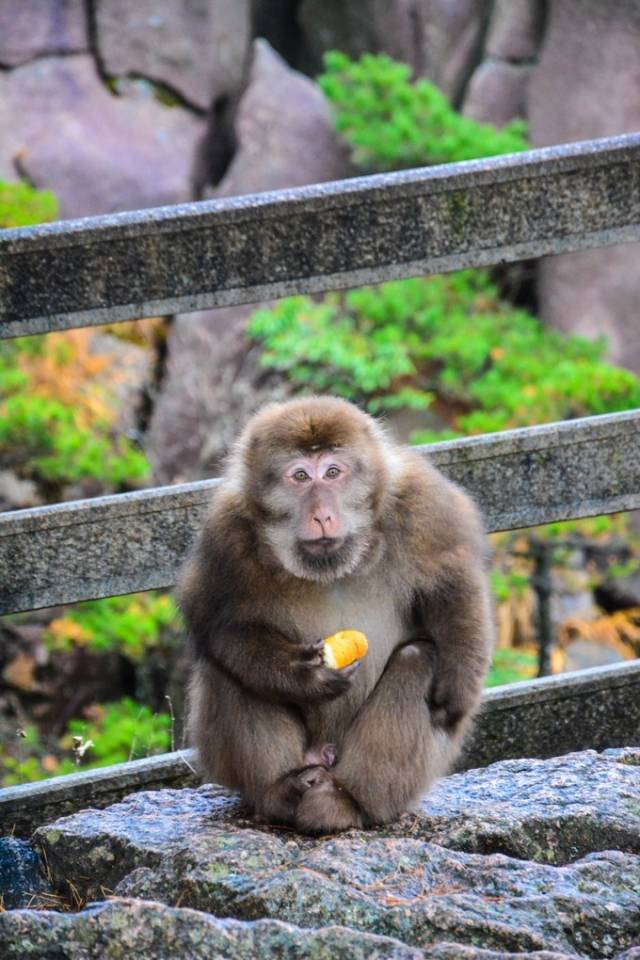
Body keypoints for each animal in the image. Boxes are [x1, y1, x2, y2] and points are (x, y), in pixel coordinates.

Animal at [180, 394, 496, 828]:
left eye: (332, 473)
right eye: (300, 476)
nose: (322, 515)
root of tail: (324, 757)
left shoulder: (427, 509)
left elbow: (454, 588)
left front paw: (458, 684)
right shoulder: (223, 536)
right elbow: (225, 626)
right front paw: (303, 676)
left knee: (419, 658)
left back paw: (346, 801)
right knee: (227, 668)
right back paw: (279, 793)